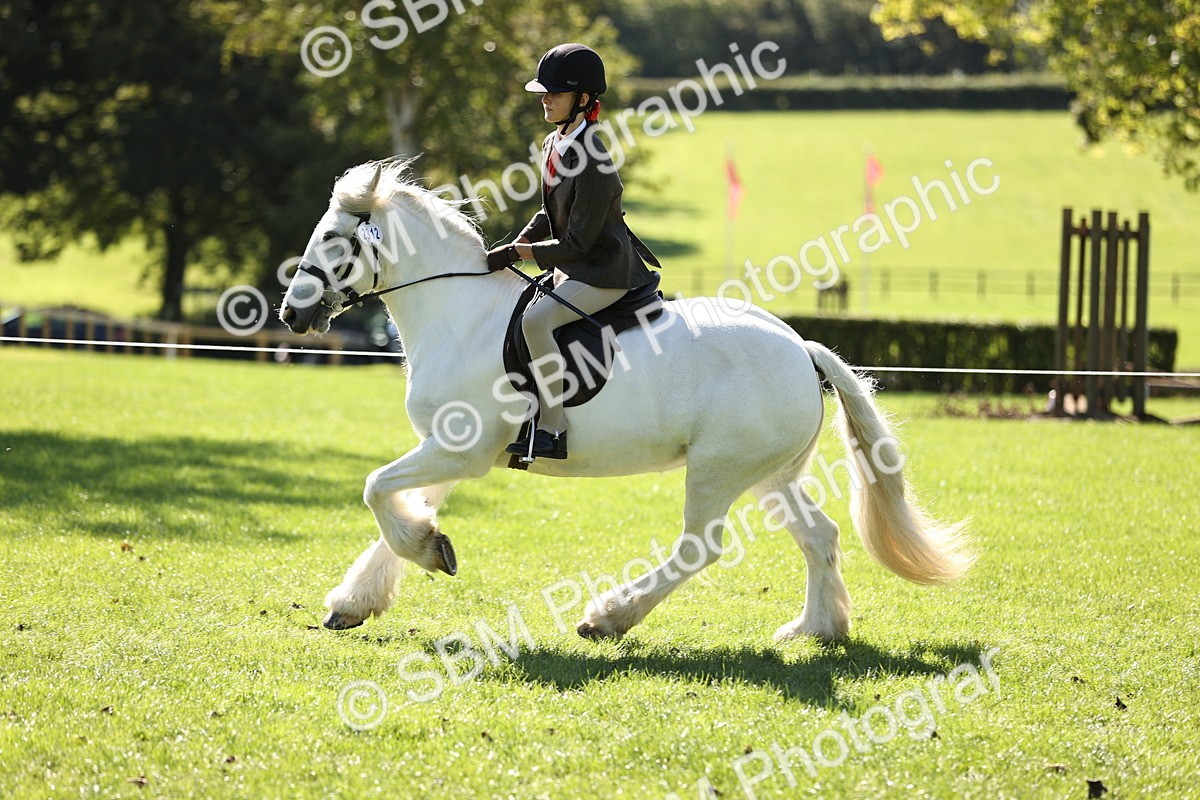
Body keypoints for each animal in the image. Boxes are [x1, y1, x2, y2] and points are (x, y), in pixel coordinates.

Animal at [279, 160, 973, 642]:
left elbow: (375, 489)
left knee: (700, 547)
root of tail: (801, 348)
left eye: (334, 239)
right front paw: (365, 594)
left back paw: (608, 618)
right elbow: (404, 505)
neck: (460, 314)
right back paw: (816, 630)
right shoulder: (448, 451)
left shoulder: (459, 452)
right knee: (819, 536)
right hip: (771, 475)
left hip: (718, 470)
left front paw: (419, 555)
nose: (291, 313)